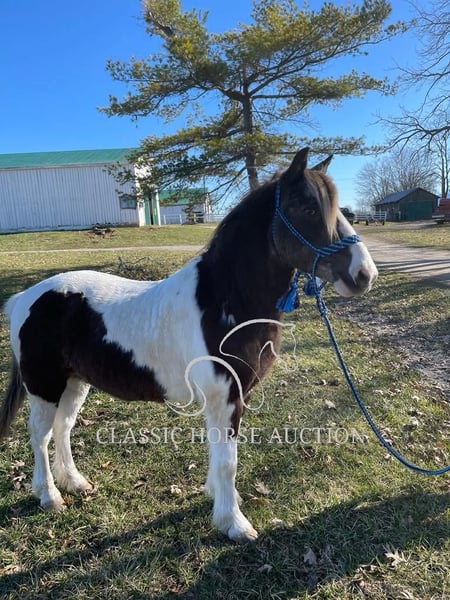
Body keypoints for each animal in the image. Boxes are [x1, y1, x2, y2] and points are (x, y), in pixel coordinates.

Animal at [0, 148, 378, 543]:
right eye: (307, 208)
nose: (364, 274)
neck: (226, 299)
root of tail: (24, 298)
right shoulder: (225, 396)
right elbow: (228, 461)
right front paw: (234, 523)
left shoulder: (230, 399)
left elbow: (219, 456)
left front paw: (221, 500)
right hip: (44, 386)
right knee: (40, 435)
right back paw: (50, 496)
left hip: (75, 382)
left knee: (63, 428)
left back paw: (75, 483)